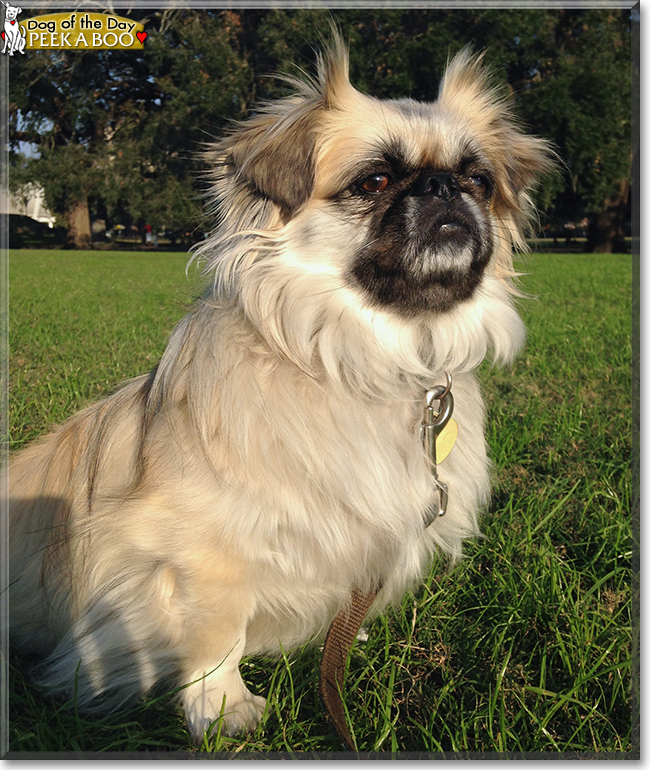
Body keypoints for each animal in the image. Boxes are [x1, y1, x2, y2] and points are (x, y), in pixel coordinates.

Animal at [6, 34, 552, 736]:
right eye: (374, 181)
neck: (370, 363)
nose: (443, 187)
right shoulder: (195, 555)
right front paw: (224, 709)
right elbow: (216, 635)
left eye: (479, 181)